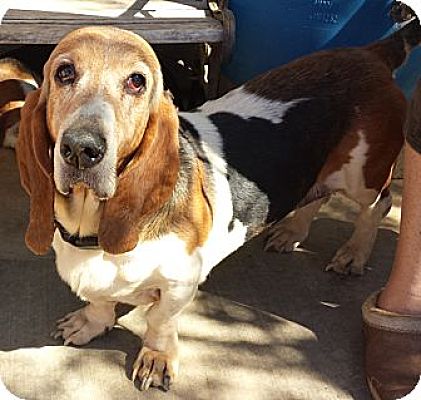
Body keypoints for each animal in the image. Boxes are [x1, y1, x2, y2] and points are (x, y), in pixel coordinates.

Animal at [14, 7, 418, 392]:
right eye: (64, 72)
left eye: (136, 81)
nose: (82, 149)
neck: (93, 230)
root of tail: (370, 54)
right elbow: (100, 303)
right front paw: (90, 324)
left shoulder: (180, 283)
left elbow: (159, 321)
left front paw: (156, 359)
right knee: (312, 197)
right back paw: (291, 233)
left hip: (361, 176)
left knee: (376, 206)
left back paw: (353, 254)